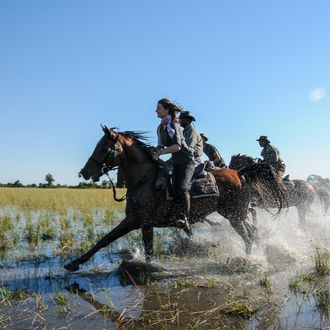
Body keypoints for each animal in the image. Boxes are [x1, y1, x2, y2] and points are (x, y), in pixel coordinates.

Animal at [63, 126, 286, 270]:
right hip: (237, 215)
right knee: (253, 233)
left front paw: (74, 264)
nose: (85, 172)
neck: (144, 179)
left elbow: (105, 240)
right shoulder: (145, 224)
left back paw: (247, 262)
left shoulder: (134, 220)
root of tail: (239, 173)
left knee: (248, 237)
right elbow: (147, 250)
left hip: (235, 216)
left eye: (103, 147)